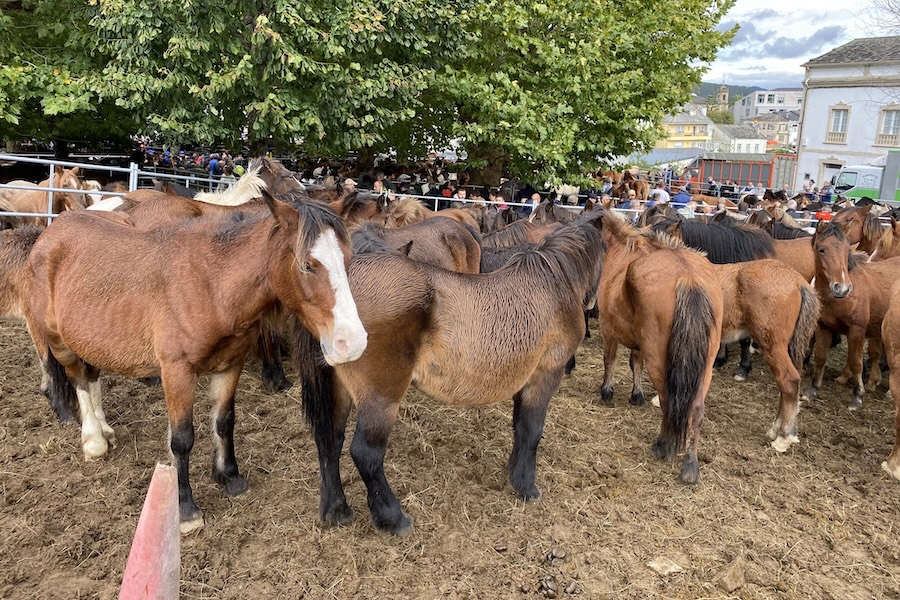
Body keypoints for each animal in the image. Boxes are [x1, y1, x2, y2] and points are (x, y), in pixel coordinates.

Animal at [26, 185, 368, 532]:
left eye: (348, 259)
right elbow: (181, 439)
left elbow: (225, 422)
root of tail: (52, 231)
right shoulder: (176, 372)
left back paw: (105, 429)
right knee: (78, 378)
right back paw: (93, 439)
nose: (352, 342)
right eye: (308, 265)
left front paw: (229, 476)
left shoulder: (230, 365)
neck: (208, 285)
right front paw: (185, 507)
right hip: (59, 341)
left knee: (92, 374)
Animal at [298, 211, 604, 536]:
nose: (594, 303)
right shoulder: (546, 374)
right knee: (366, 453)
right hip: (381, 397)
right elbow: (531, 430)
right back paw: (393, 518)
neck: (551, 285)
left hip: (339, 390)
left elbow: (520, 427)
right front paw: (526, 486)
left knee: (329, 440)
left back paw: (337, 510)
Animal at [596, 213, 724, 486]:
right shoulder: (639, 343)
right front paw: (636, 394)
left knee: (668, 399)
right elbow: (635, 363)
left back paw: (663, 446)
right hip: (705, 365)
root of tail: (688, 278)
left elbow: (610, 359)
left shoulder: (608, 328)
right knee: (696, 409)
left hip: (659, 359)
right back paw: (690, 465)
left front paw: (607, 391)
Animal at [804, 223, 900, 410]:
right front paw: (813, 390)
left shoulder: (857, 331)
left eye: (846, 250)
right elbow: (820, 357)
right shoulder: (823, 327)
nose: (842, 288)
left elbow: (856, 363)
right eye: (821, 250)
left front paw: (857, 396)